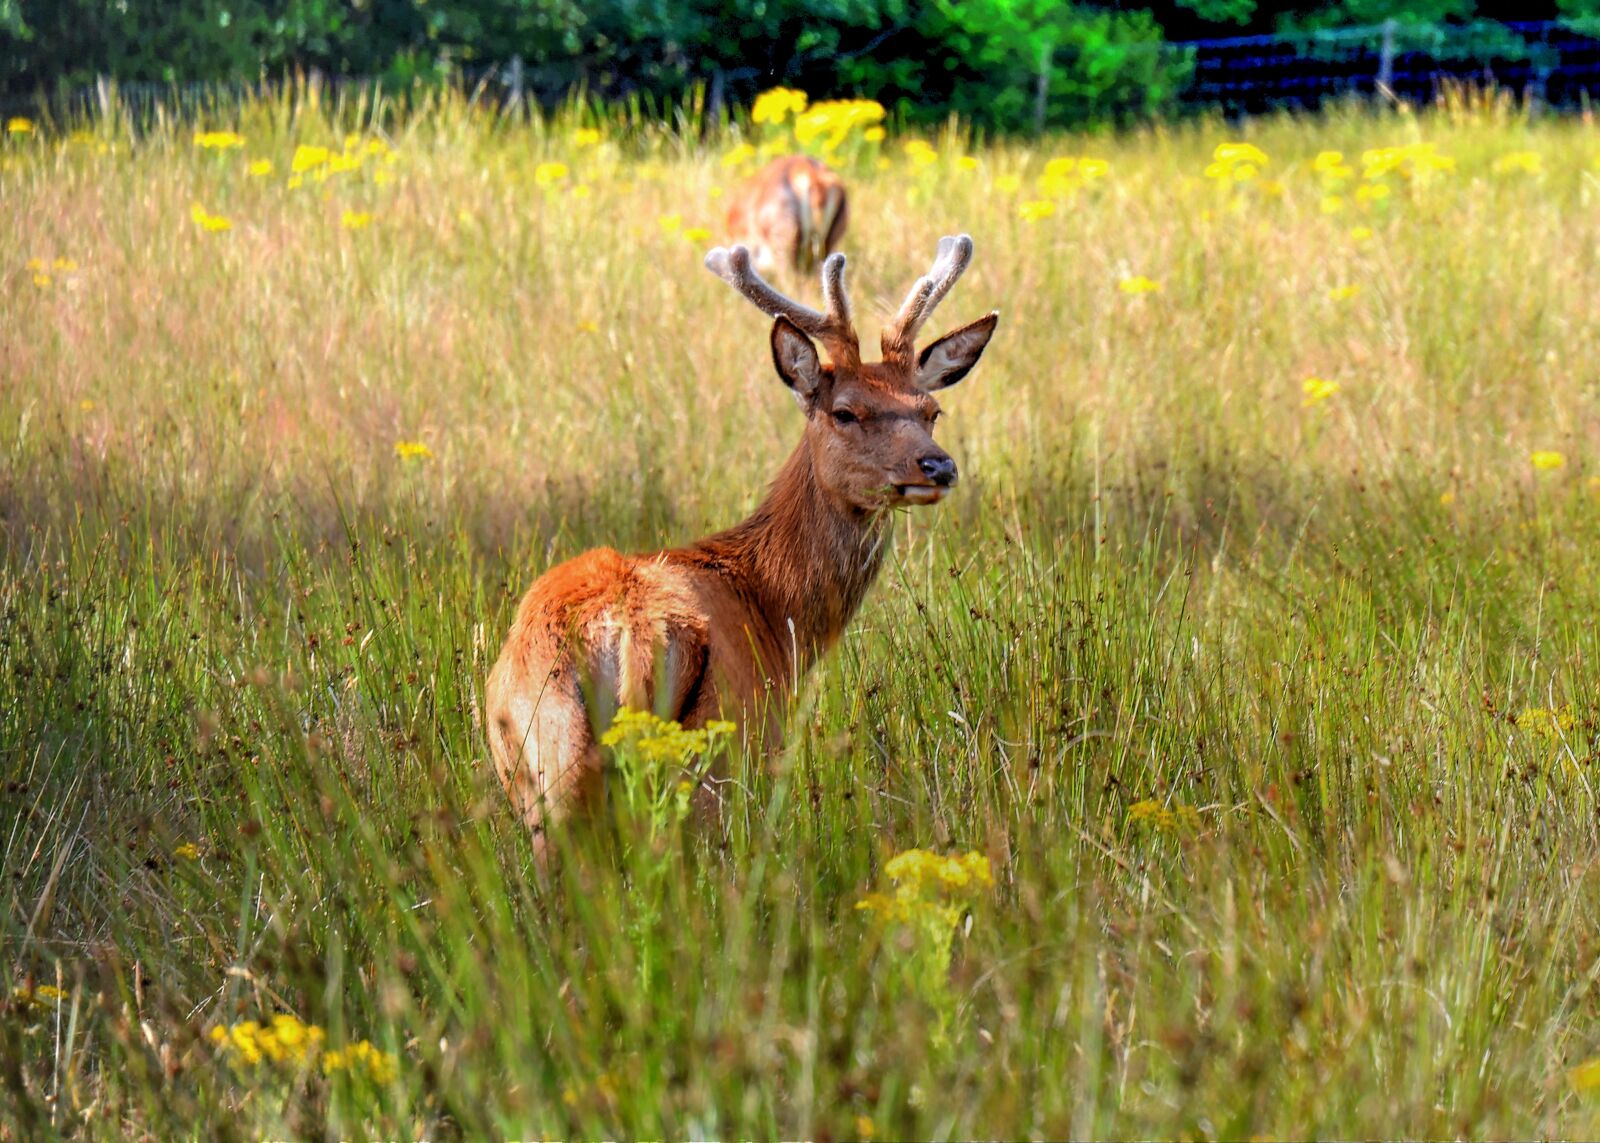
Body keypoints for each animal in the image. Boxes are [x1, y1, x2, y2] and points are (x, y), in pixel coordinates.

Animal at [484, 235, 997, 855]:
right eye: (845, 411)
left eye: (931, 410)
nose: (938, 465)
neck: (775, 611)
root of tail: (630, 637)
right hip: (717, 758)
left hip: (541, 767)